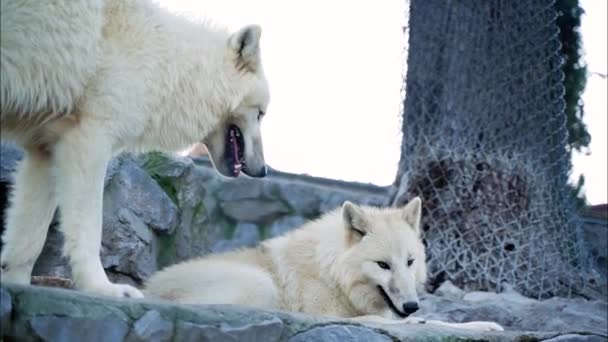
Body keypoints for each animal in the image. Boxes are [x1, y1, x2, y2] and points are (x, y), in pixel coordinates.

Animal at [0, 0, 270, 300]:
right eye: (261, 113)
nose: (262, 170)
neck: (161, 59)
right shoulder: (93, 121)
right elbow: (88, 212)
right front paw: (109, 288)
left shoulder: (49, 133)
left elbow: (33, 211)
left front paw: (16, 280)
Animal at [144, 198, 504, 332]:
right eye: (383, 265)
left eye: (410, 262)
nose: (412, 305)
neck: (333, 273)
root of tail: (146, 290)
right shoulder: (330, 314)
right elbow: (407, 323)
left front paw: (484, 325)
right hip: (259, 282)